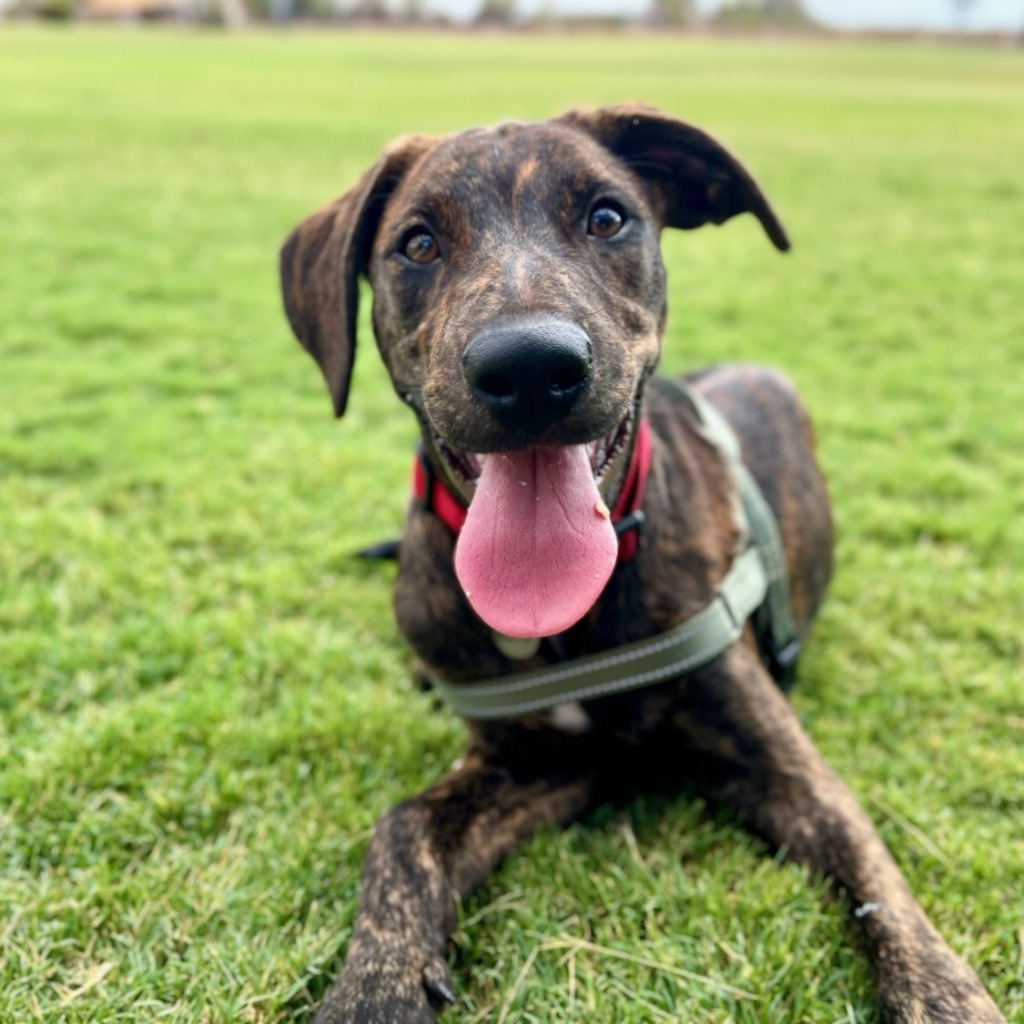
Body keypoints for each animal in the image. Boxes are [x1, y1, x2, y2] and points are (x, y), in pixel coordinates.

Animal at [280, 104, 1005, 1024]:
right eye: (417, 243)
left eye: (606, 218)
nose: (530, 368)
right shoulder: (541, 763)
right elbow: (403, 828)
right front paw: (372, 989)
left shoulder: (793, 776)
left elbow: (884, 892)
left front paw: (945, 996)